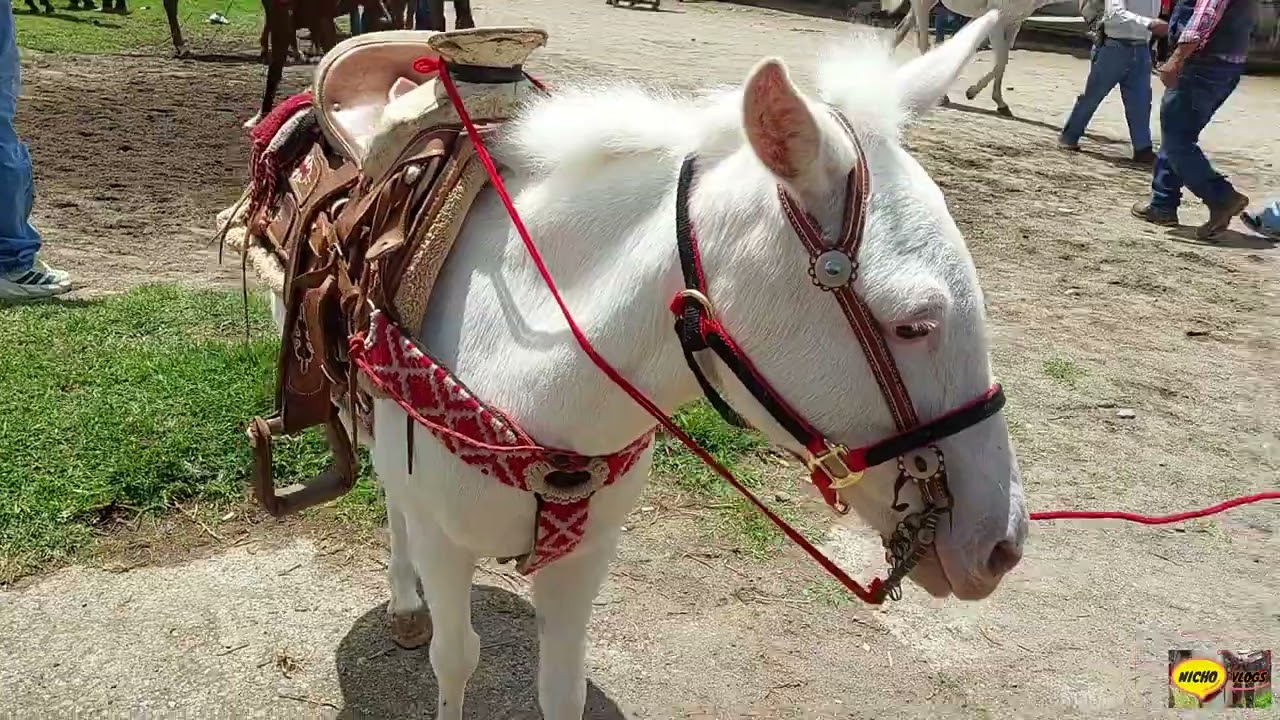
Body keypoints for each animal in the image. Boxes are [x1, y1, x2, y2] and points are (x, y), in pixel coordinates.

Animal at [236, 12, 1026, 718]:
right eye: (914, 323)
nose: (1002, 546)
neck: (533, 375)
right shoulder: (445, 541)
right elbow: (455, 661)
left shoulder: (585, 558)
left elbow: (562, 691)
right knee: (388, 488)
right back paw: (405, 602)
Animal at [885, 0, 1059, 115]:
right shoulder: (998, 18)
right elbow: (1001, 60)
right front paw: (972, 92)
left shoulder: (1014, 21)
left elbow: (1002, 62)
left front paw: (1000, 103)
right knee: (922, 43)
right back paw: (940, 96)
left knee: (900, 31)